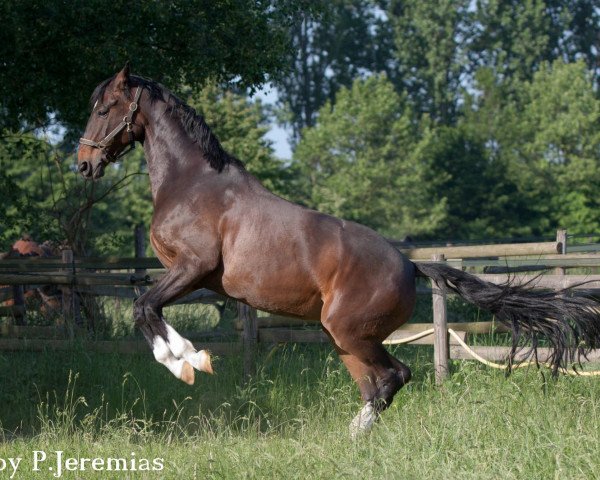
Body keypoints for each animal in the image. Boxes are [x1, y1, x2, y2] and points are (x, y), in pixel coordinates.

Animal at [78, 65, 600, 436]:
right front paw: (190, 360)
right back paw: (354, 436)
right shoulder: (186, 275)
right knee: (379, 385)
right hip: (345, 339)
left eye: (104, 108)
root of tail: (411, 265)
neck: (192, 183)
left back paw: (352, 434)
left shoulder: (192, 268)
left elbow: (144, 308)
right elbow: (147, 307)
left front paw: (188, 363)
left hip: (351, 333)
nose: (84, 163)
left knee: (395, 376)